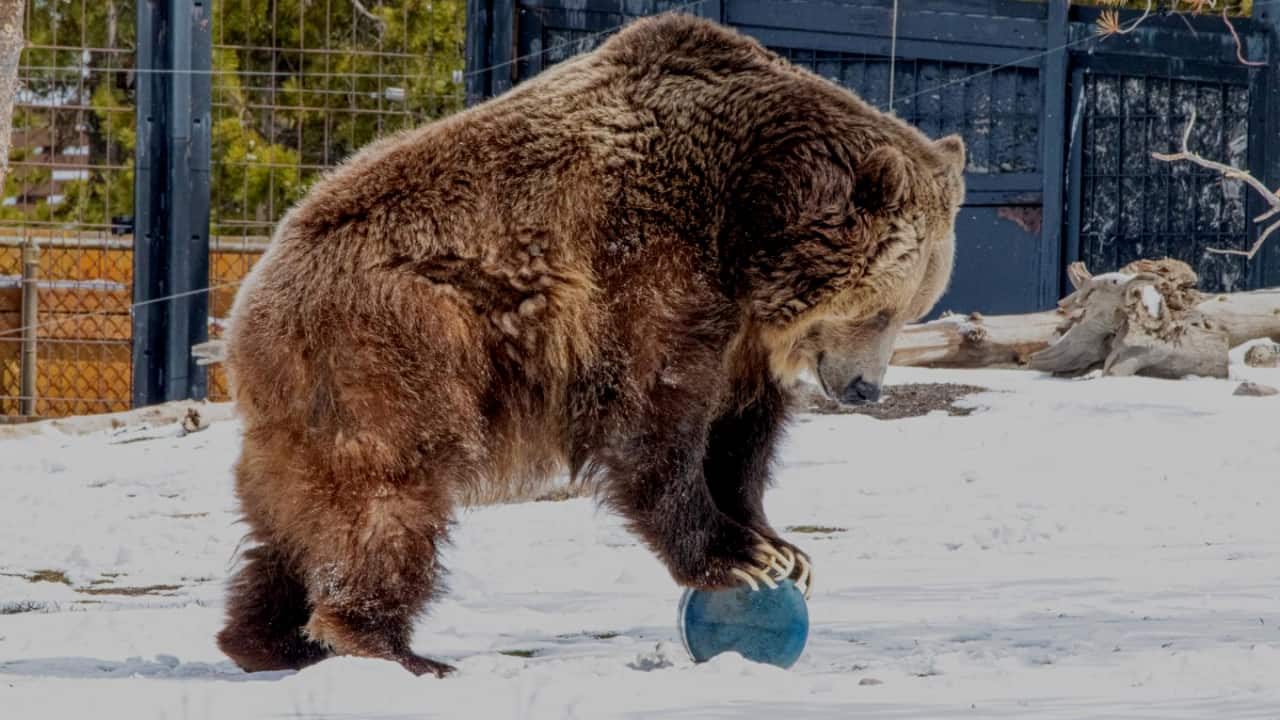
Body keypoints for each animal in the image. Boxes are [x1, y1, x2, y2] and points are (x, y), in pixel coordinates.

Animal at [214, 12, 965, 678]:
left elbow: (740, 435)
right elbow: (651, 416)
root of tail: (250, 293)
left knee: (291, 520)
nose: (866, 388)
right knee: (387, 497)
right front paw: (735, 556)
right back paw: (390, 648)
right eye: (883, 310)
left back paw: (269, 639)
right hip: (394, 344)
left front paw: (780, 546)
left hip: (314, 399)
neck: (746, 218)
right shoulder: (643, 262)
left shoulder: (741, 332)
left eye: (916, 307)